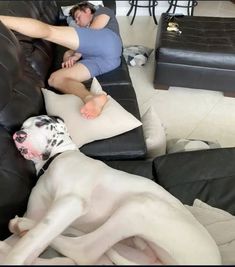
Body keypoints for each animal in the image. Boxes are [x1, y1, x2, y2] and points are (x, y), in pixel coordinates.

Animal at [0, 115, 221, 266]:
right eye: (22, 127)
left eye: (41, 123)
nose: (18, 135)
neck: (55, 159)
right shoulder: (40, 213)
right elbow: (29, 242)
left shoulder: (71, 202)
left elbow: (27, 243)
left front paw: (14, 255)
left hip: (141, 205)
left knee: (83, 251)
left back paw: (24, 227)